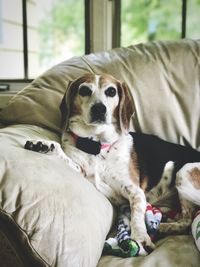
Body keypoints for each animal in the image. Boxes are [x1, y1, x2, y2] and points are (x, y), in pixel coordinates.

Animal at [25, 73, 200, 255]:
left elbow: (136, 215)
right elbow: (65, 156)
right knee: (184, 219)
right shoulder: (84, 172)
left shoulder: (135, 191)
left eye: (111, 91)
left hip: (185, 171)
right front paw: (43, 146)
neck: (97, 144)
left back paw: (162, 227)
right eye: (84, 90)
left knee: (187, 220)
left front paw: (140, 237)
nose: (99, 108)